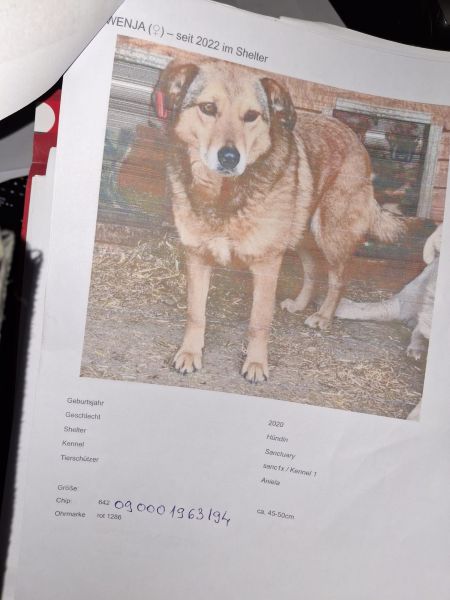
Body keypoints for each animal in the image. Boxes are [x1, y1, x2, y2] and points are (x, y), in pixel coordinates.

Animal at [151, 59, 404, 383]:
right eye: (208, 108)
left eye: (251, 116)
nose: (230, 157)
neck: (224, 196)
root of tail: (355, 138)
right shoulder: (197, 256)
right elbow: (196, 313)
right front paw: (189, 353)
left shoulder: (267, 264)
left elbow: (259, 321)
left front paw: (256, 364)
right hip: (301, 235)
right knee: (312, 270)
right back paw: (299, 304)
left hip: (329, 234)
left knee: (338, 279)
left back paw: (323, 316)